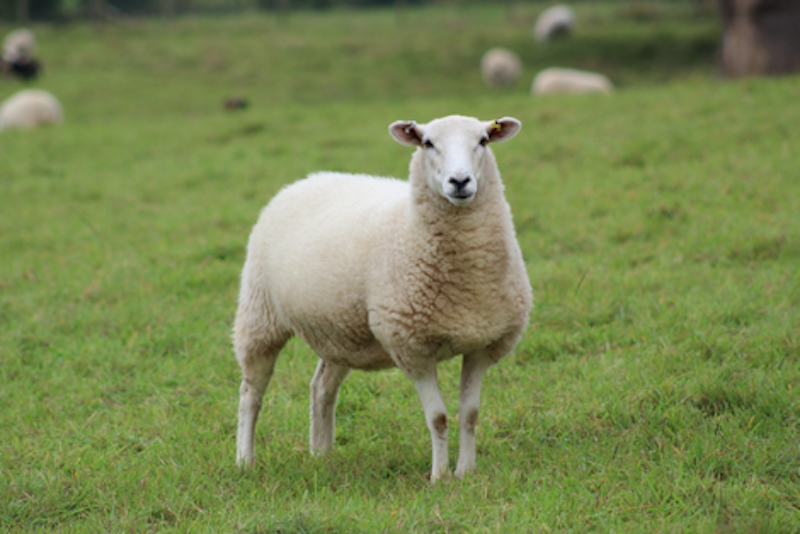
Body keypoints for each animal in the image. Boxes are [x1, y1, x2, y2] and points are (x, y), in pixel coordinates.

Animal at [234, 115, 533, 482]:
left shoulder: (481, 343)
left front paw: (466, 472)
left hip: (340, 332)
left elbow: (470, 413)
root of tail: (307, 180)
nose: (460, 181)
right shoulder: (412, 348)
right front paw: (440, 477)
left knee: (321, 388)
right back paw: (245, 460)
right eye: (427, 143)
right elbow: (438, 418)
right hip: (259, 315)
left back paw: (322, 456)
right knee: (251, 393)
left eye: (483, 141)